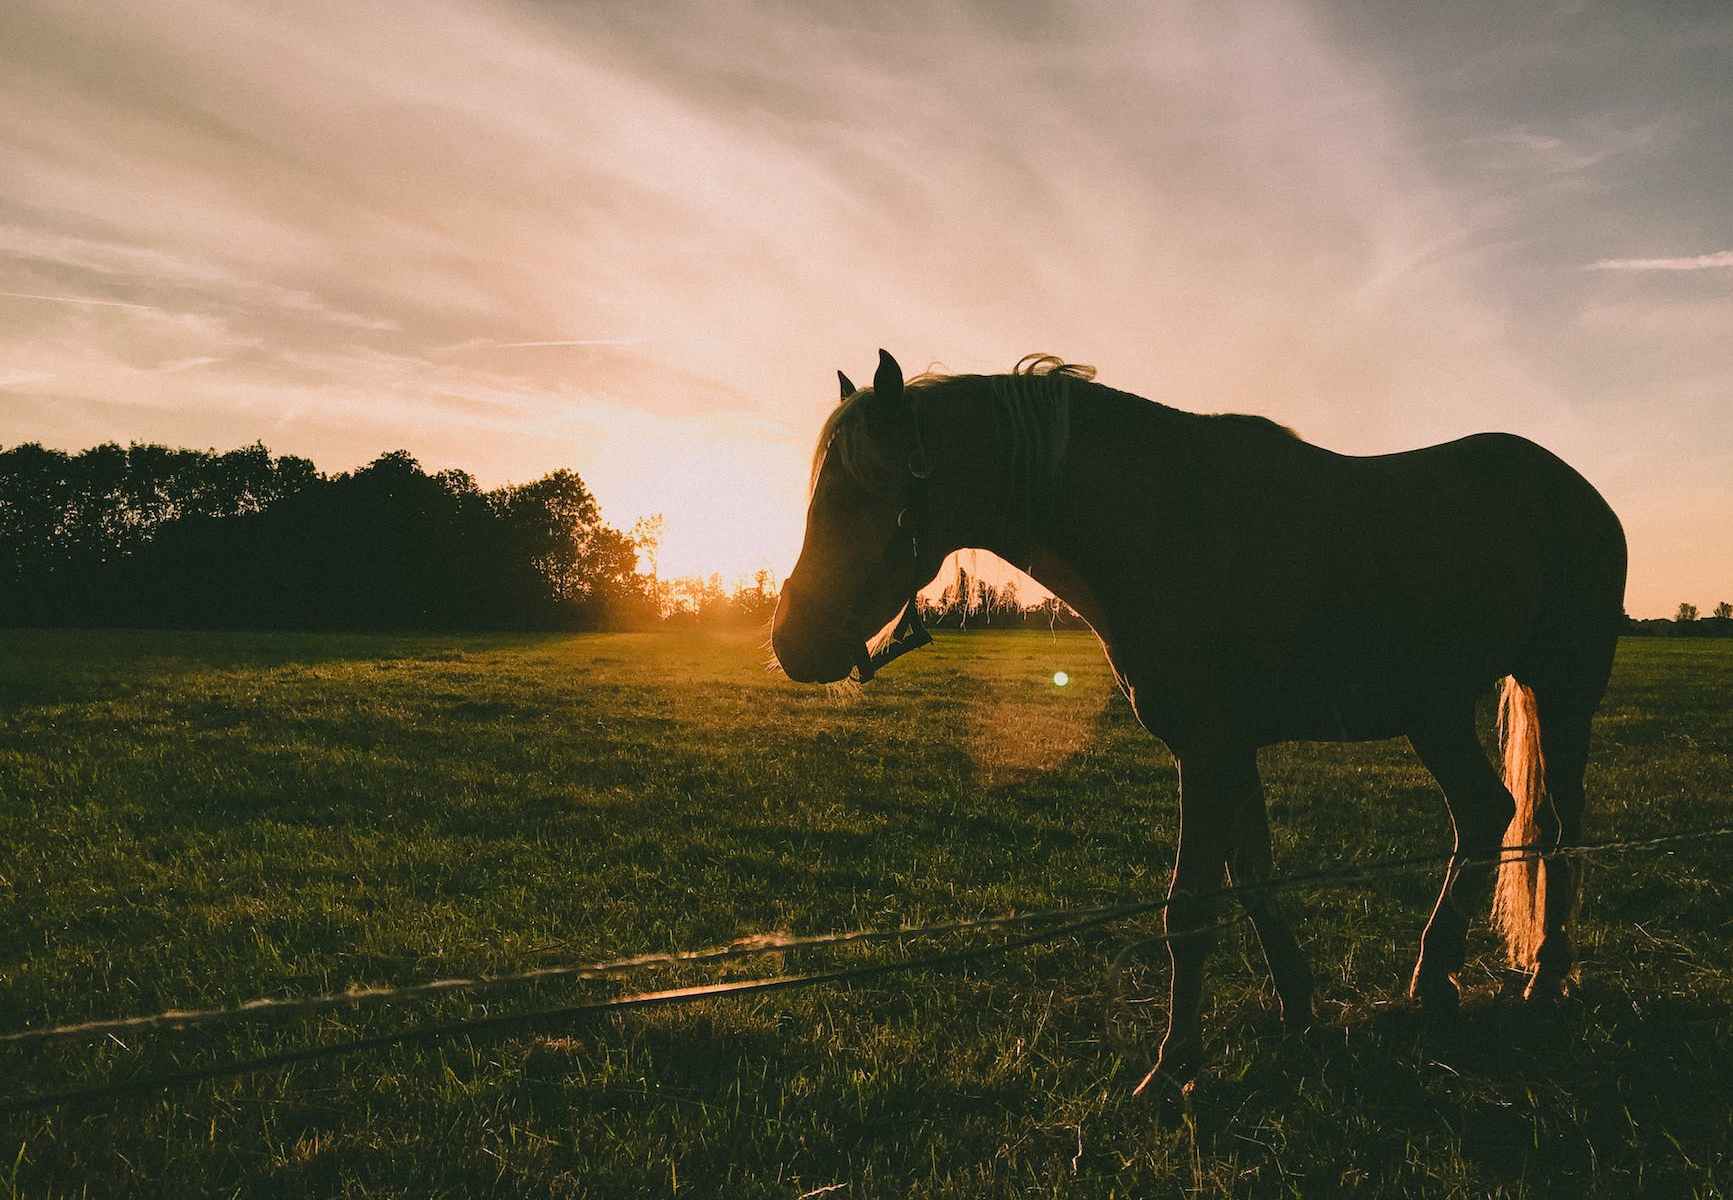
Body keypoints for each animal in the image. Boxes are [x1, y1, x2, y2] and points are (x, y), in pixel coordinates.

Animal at [771, 349, 1627, 1094]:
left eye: (859, 492)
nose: (790, 642)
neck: (1162, 525)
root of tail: (1577, 492)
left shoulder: (1207, 750)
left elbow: (1188, 909)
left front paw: (1173, 1067)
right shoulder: (1227, 752)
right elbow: (1251, 881)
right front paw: (1297, 1008)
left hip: (1560, 693)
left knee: (1556, 827)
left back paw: (1543, 976)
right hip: (1437, 710)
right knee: (1485, 813)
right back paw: (1436, 979)